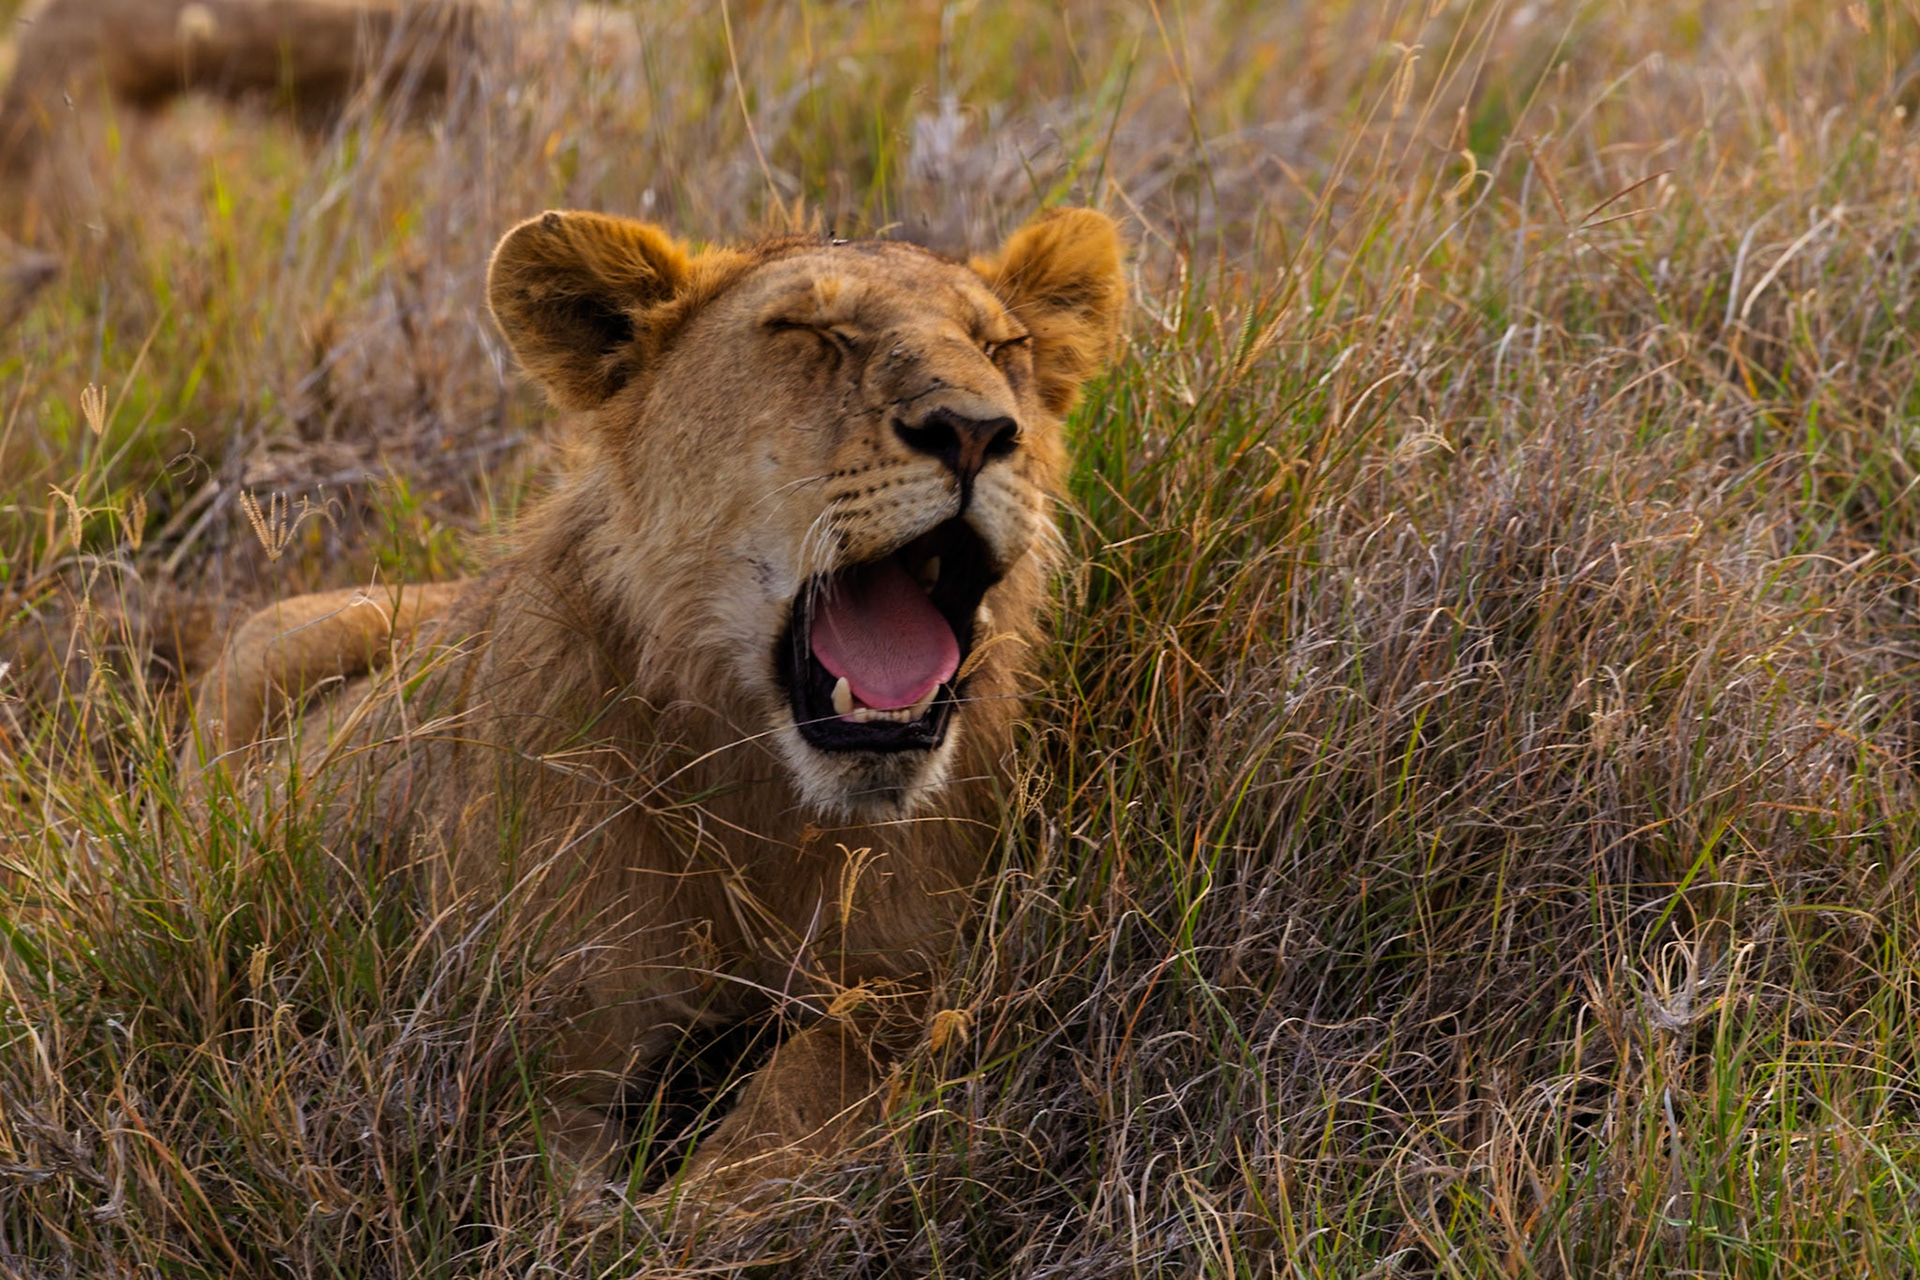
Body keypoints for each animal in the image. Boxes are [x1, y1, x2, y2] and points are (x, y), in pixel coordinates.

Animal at [187, 206, 1126, 1198]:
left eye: (1004, 348)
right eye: (809, 331)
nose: (977, 431)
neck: (765, 809)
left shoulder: (920, 979)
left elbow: (805, 1096)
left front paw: (712, 1193)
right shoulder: (529, 1034)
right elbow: (543, 1184)